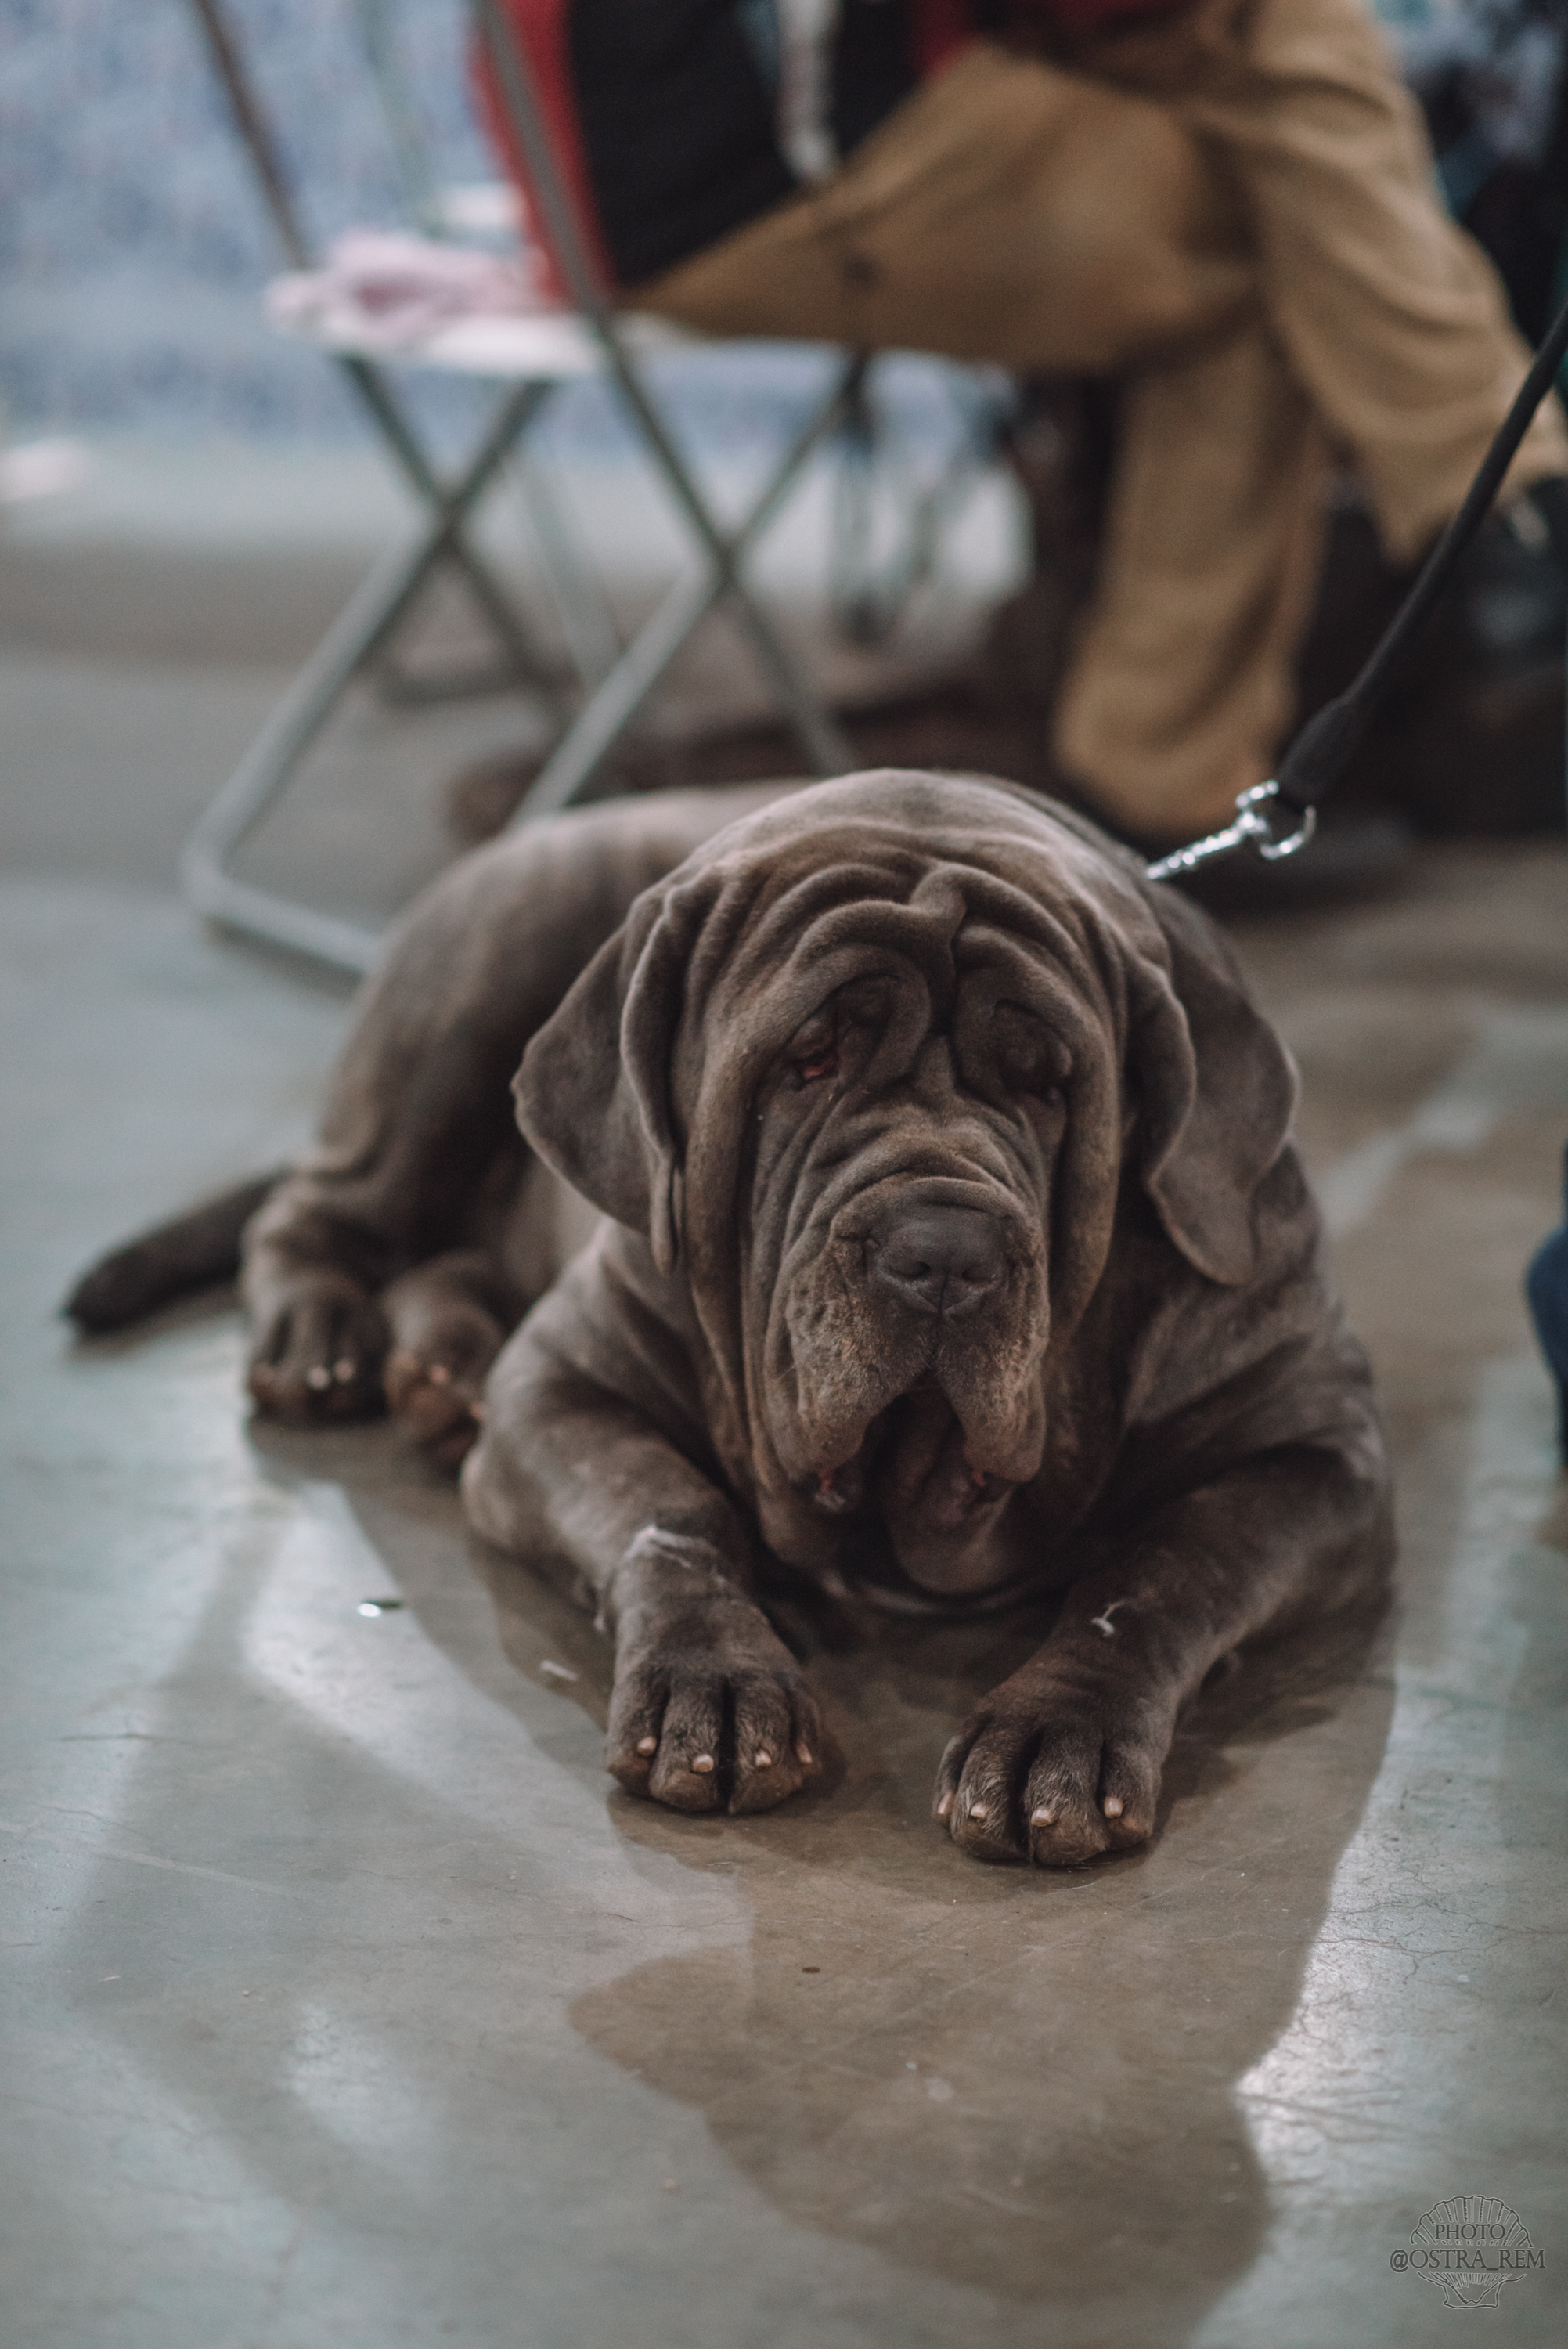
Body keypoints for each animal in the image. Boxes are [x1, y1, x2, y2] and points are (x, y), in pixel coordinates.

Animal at [76, 780, 1399, 1860]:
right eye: (803, 1060)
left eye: (1046, 1080)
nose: (942, 1255)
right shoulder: (565, 1386)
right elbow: (666, 1511)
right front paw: (709, 1683)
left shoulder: (1316, 1456)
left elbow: (1164, 1569)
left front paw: (1053, 1732)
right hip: (461, 1005)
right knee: (322, 1207)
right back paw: (325, 1341)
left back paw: (440, 1369)